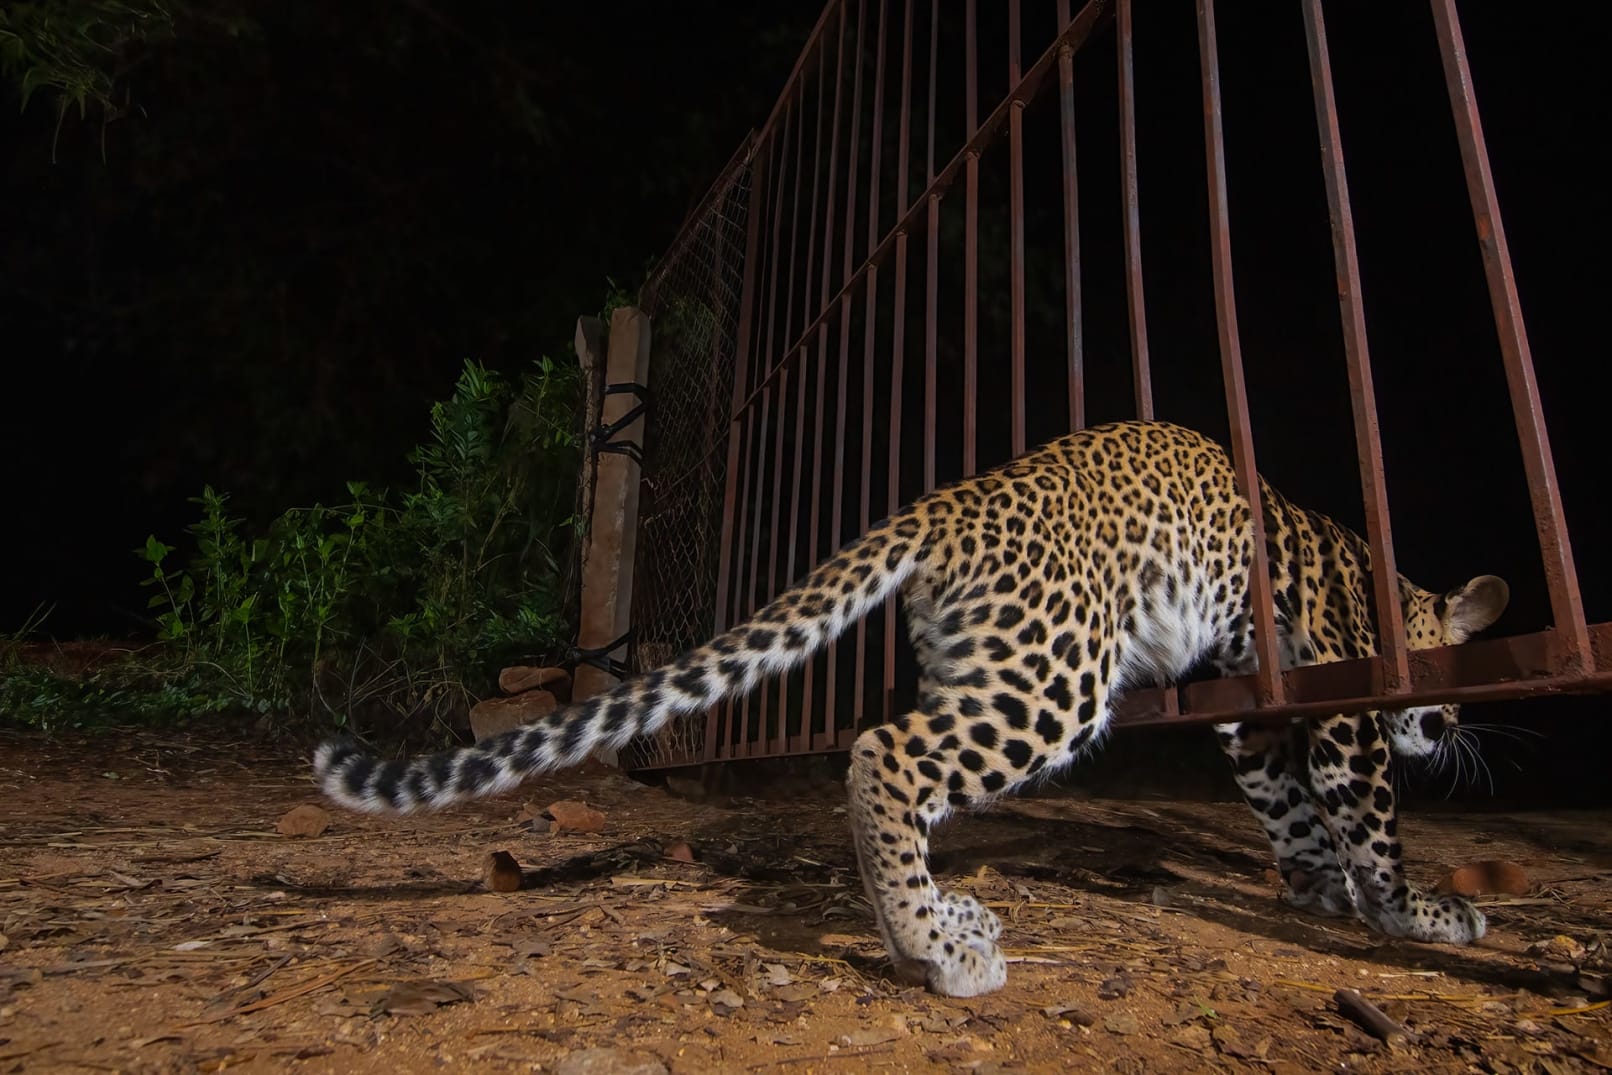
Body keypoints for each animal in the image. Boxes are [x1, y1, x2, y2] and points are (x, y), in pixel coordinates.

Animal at [314, 419, 1509, 998]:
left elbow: (1291, 810)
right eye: (1446, 701)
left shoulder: (1253, 711)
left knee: (913, 772)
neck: (1382, 585)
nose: (1445, 730)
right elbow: (1368, 821)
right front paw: (1415, 913)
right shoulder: (1344, 701)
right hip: (1052, 673)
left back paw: (942, 917)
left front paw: (1316, 890)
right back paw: (933, 948)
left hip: (980, 660)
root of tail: (950, 499)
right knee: (881, 752)